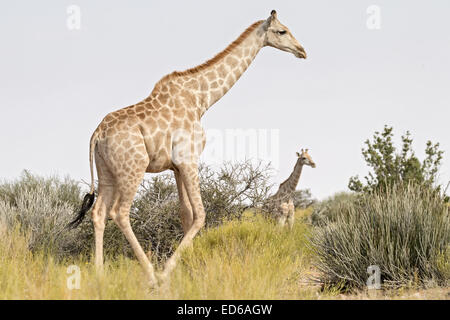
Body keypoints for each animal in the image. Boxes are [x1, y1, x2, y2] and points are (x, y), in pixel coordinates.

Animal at [69, 9, 306, 284]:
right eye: (282, 31)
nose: (302, 50)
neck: (202, 99)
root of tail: (97, 134)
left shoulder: (176, 166)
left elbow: (186, 215)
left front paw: (189, 270)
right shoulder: (189, 159)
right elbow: (200, 215)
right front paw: (169, 271)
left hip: (106, 171)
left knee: (98, 212)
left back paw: (99, 275)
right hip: (133, 168)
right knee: (119, 212)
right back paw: (151, 274)